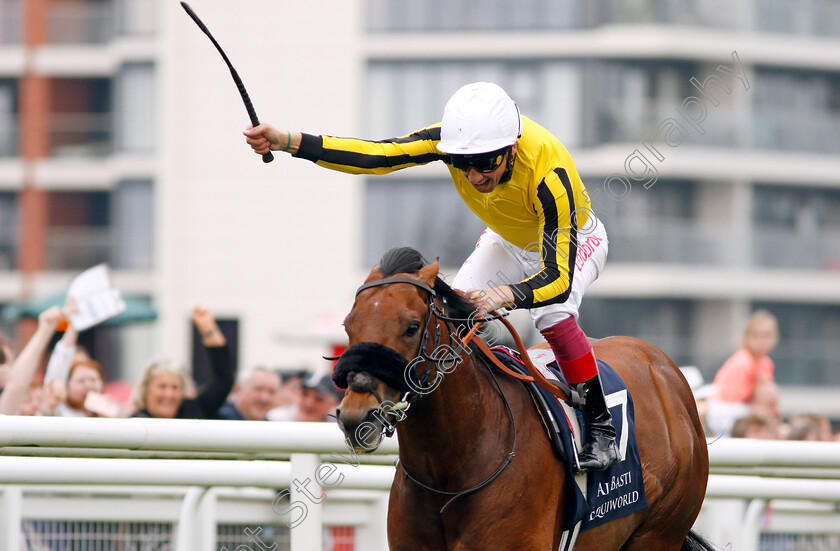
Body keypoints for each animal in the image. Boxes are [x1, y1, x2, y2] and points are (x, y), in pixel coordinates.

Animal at [332, 250, 712, 551]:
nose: (356, 417)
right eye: (349, 324)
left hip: (659, 534)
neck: (450, 470)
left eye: (412, 327)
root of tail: (664, 369)